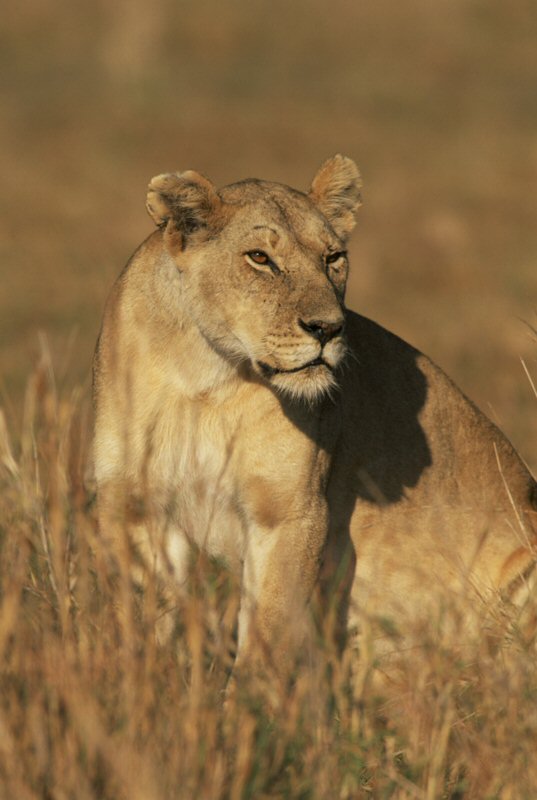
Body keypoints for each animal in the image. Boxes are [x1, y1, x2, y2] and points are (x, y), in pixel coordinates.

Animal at [93, 155, 537, 675]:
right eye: (260, 258)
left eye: (333, 259)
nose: (328, 328)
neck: (206, 379)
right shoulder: (135, 505)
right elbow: (139, 621)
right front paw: (138, 684)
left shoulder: (289, 513)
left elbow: (266, 633)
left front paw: (254, 699)